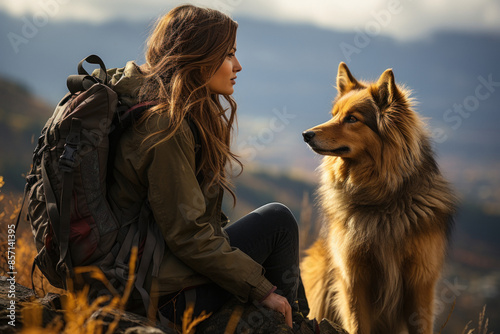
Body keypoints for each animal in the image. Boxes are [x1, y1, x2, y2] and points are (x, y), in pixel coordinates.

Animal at [300, 63, 458, 334]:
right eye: (333, 114)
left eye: (352, 119)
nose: (305, 134)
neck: (381, 202)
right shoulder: (353, 277)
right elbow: (357, 323)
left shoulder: (420, 280)